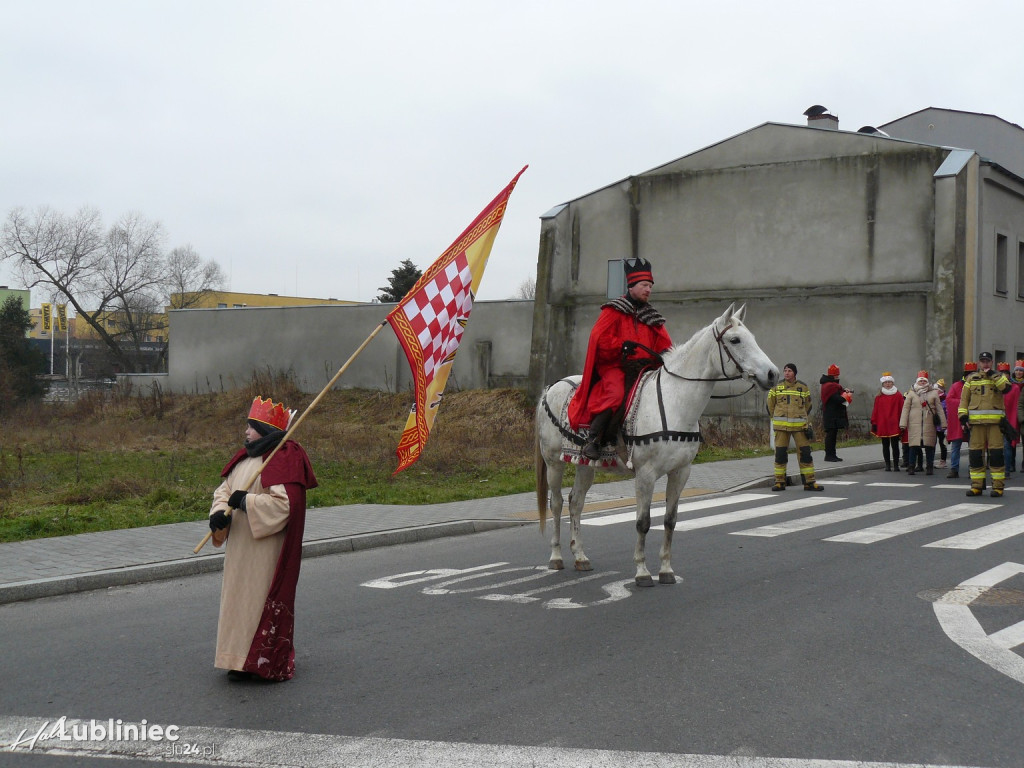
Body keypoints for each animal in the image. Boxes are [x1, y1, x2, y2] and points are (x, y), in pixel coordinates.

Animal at [536, 303, 774, 585]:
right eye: (735, 340)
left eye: (753, 338)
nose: (772, 374)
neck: (676, 402)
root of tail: (552, 386)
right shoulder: (645, 475)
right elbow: (643, 522)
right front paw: (642, 571)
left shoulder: (681, 472)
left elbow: (670, 521)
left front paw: (666, 570)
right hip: (554, 462)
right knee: (557, 502)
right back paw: (556, 557)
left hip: (585, 463)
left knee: (576, 502)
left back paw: (581, 556)